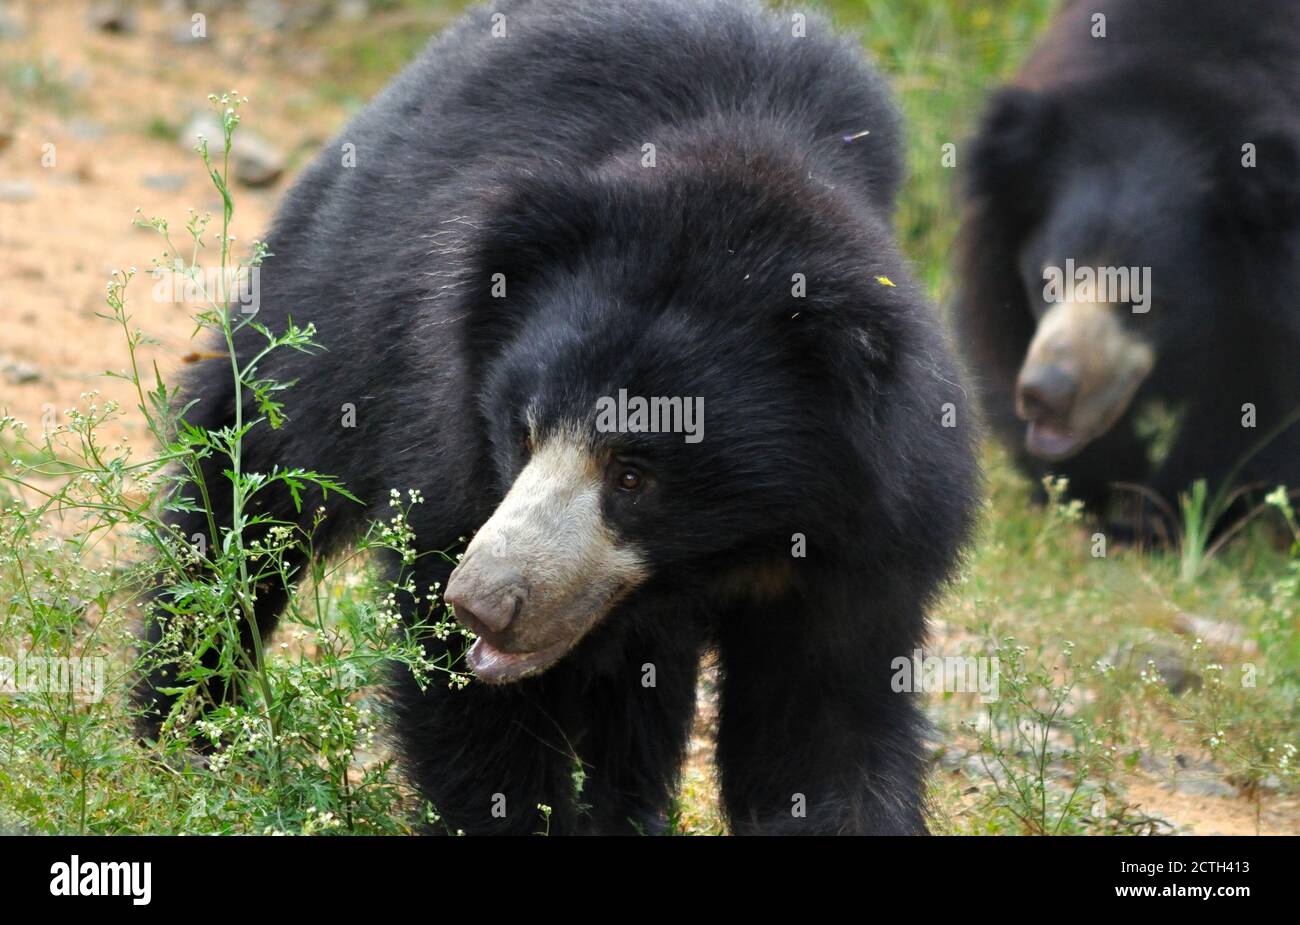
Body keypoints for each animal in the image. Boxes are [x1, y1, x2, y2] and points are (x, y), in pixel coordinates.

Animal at [139, 0, 977, 836]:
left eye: (634, 475)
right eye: (523, 432)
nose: (482, 603)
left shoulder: (868, 537)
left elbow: (819, 726)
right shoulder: (453, 426)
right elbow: (470, 692)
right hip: (339, 285)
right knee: (251, 484)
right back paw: (182, 727)